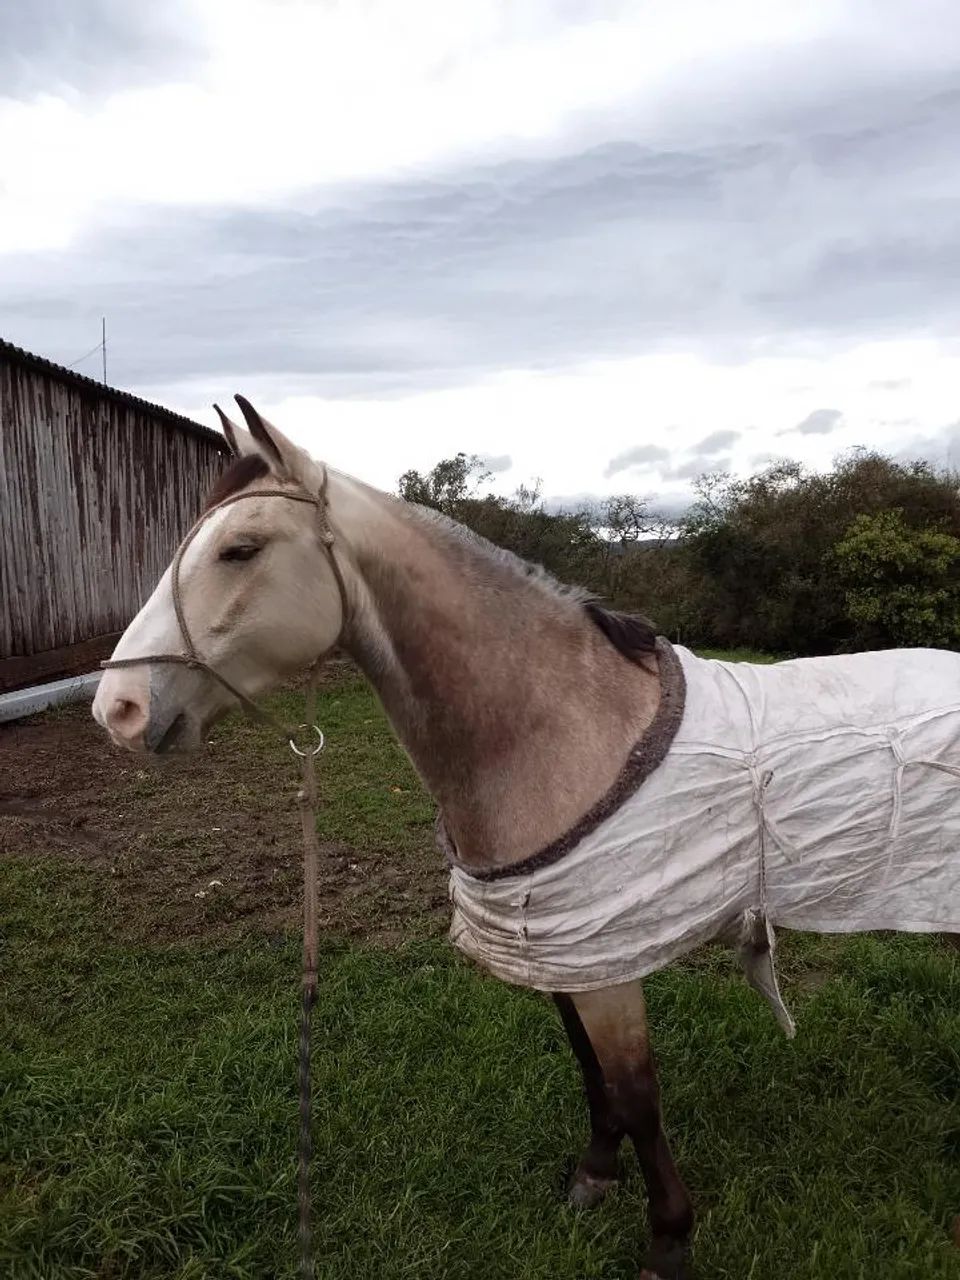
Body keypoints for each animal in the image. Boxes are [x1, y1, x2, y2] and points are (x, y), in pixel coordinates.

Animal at [93, 396, 960, 1280]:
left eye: (240, 548)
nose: (117, 710)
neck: (561, 726)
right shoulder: (558, 951)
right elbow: (590, 1072)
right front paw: (594, 1176)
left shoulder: (608, 964)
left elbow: (638, 1093)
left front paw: (668, 1239)